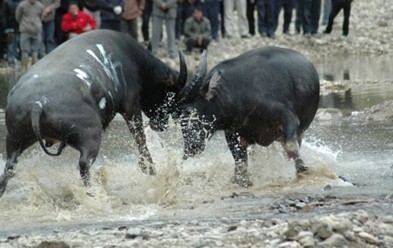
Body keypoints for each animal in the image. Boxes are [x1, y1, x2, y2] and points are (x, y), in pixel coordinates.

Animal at [0, 29, 187, 198]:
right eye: (171, 93)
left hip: (15, 139)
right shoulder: (131, 106)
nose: (163, 124)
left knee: (9, 167)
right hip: (90, 136)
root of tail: (39, 103)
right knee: (84, 164)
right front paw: (150, 169)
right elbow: (140, 138)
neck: (131, 57)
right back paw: (93, 192)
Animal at [178, 46, 318, 187]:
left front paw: (302, 169)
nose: (190, 149)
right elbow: (240, 162)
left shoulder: (289, 118)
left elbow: (290, 145)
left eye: (189, 112)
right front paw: (242, 180)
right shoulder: (233, 133)